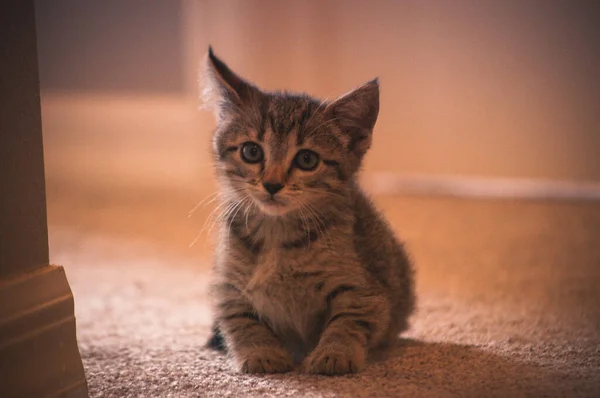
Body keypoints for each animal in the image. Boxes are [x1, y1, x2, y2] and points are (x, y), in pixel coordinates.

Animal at [200, 48, 412, 374]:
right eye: (251, 152)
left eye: (307, 159)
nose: (272, 184)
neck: (277, 232)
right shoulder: (229, 289)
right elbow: (242, 322)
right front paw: (262, 352)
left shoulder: (365, 291)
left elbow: (348, 321)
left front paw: (334, 353)